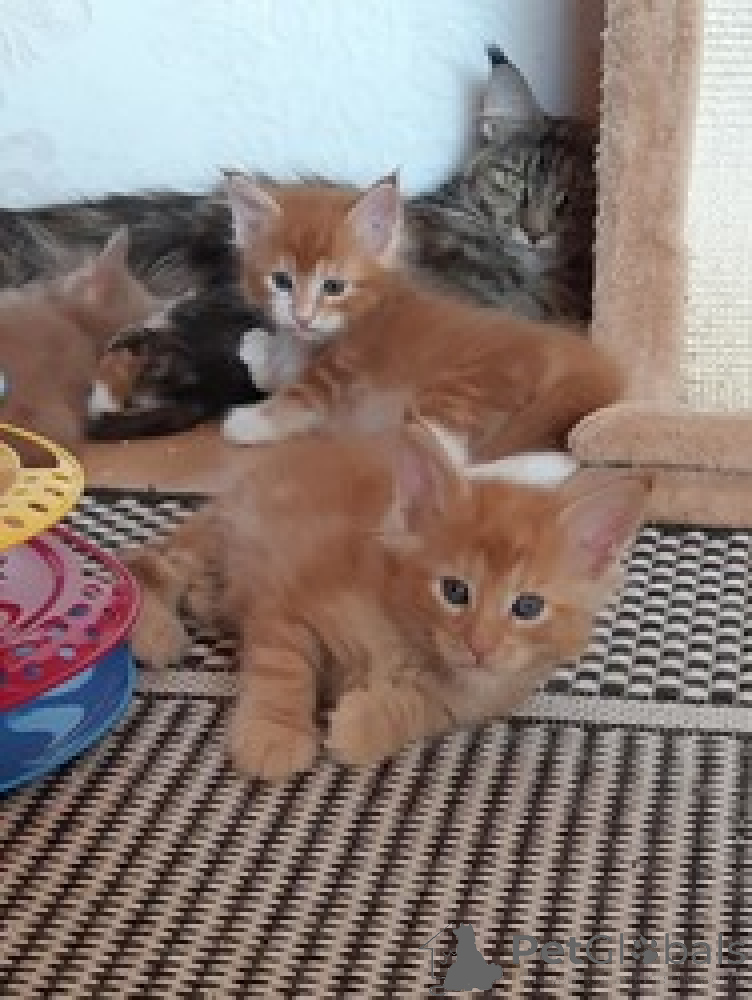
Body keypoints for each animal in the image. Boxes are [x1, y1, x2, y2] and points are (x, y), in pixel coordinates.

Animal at [125, 418, 651, 780]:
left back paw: (204, 600)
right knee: (148, 566)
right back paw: (155, 631)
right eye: (455, 591)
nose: (480, 646)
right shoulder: (288, 604)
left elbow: (420, 708)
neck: (411, 643)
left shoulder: (474, 701)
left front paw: (364, 725)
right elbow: (284, 670)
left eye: (527, 607)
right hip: (219, 536)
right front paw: (274, 735)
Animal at [219, 171, 622, 463]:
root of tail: (586, 361)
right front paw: (257, 347)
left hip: (469, 383)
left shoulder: (342, 369)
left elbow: (300, 395)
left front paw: (250, 421)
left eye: (333, 286)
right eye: (282, 281)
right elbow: (275, 371)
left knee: (450, 455)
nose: (302, 317)